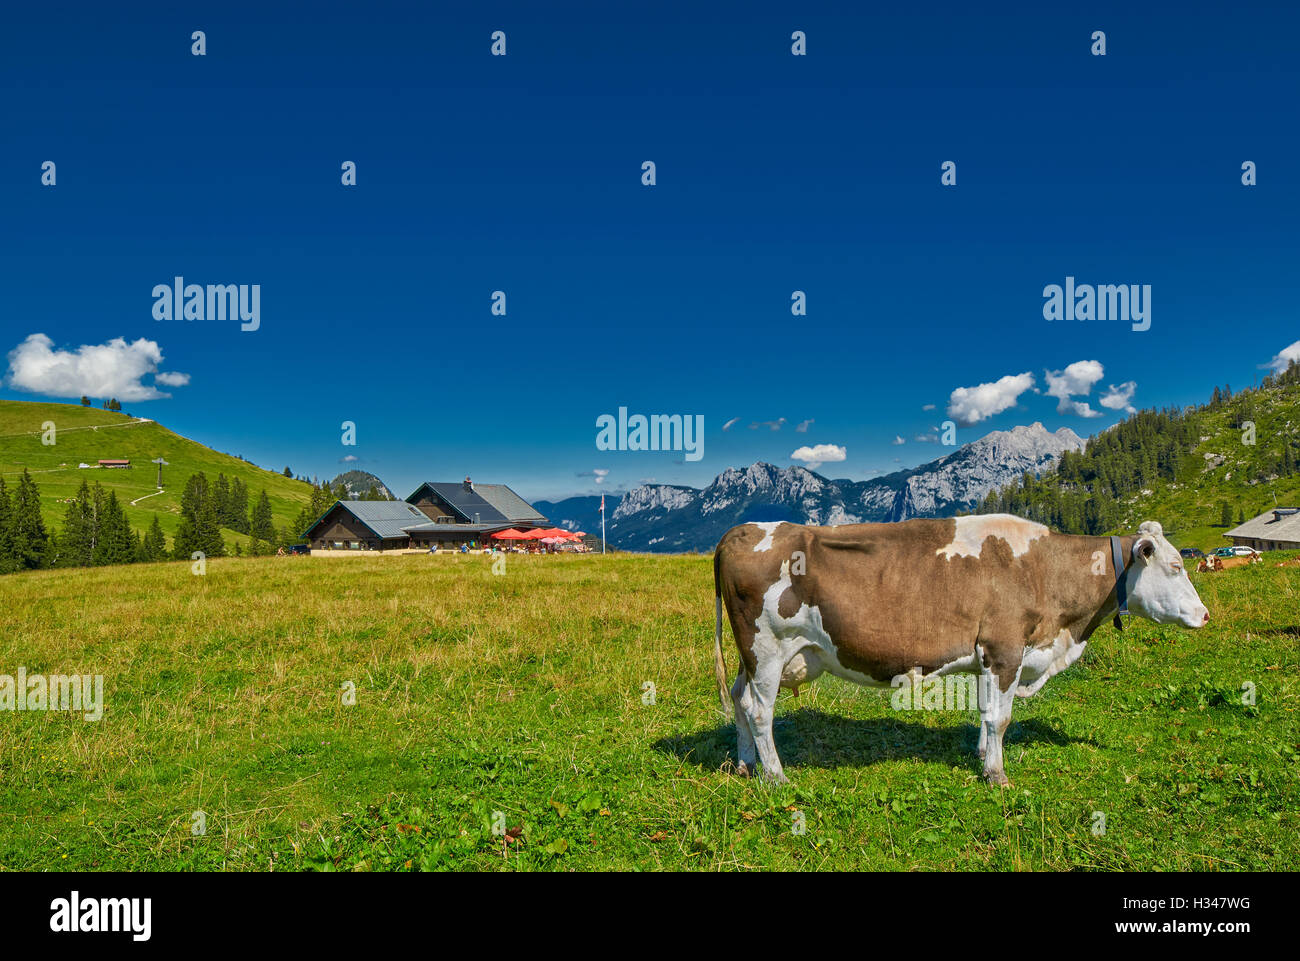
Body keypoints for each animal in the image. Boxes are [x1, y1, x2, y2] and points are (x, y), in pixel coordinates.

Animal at [711, 515, 1209, 787]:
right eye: (1176, 565)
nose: (1205, 615)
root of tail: (739, 531)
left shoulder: (987, 658)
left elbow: (987, 714)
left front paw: (982, 759)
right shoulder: (1005, 650)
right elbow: (1002, 717)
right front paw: (998, 775)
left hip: (751, 657)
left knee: (738, 699)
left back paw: (746, 764)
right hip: (767, 649)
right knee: (759, 710)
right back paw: (776, 776)